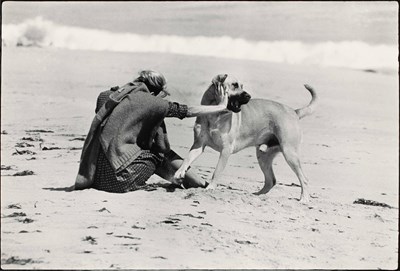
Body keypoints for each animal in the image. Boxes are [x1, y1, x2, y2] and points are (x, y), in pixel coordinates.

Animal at [173, 74, 318, 202]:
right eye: (234, 85)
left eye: (242, 86)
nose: (249, 96)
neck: (215, 114)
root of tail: (294, 111)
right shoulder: (199, 144)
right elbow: (187, 159)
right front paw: (179, 172)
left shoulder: (225, 150)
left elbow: (217, 171)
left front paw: (211, 187)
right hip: (263, 156)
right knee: (271, 180)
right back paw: (256, 195)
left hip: (289, 153)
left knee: (304, 179)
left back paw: (304, 199)